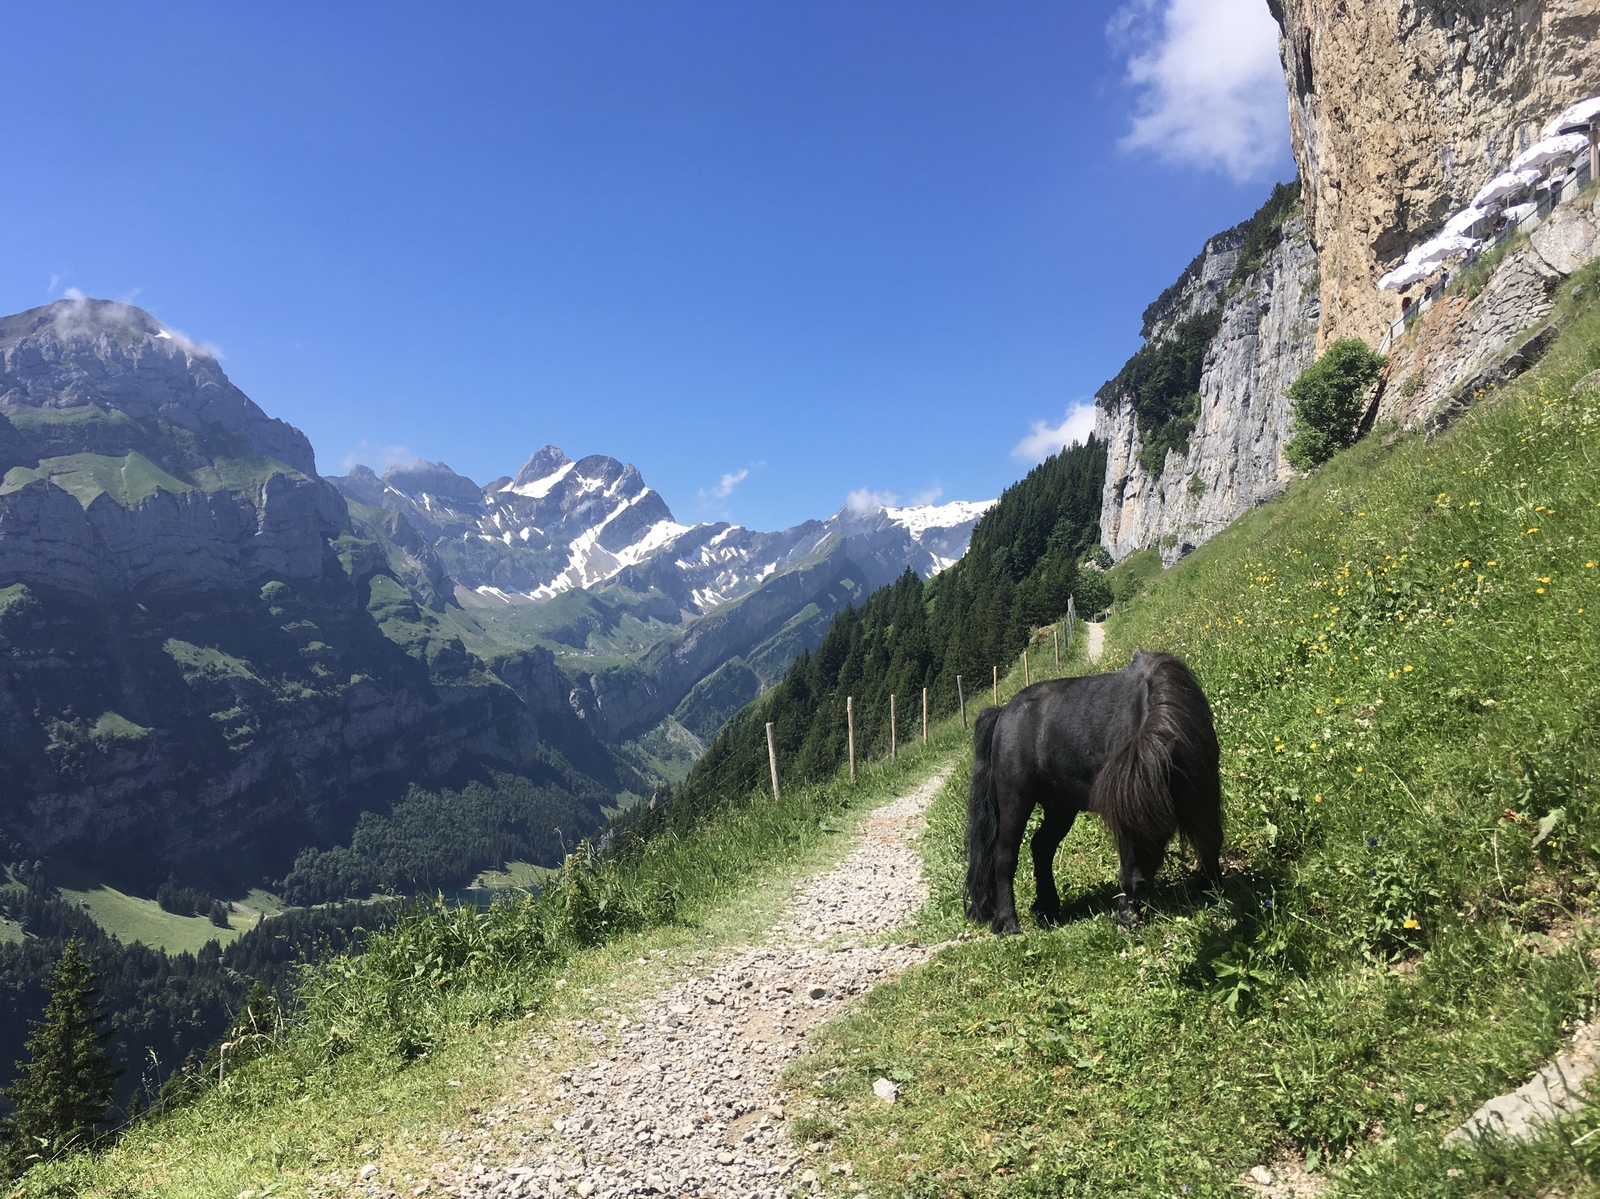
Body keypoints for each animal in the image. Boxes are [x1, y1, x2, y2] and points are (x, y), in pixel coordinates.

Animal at [960, 646, 1222, 934]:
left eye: (1154, 820)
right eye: (1116, 827)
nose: (1133, 886)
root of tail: (1003, 713)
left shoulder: (1205, 791)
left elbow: (1211, 837)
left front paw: (1212, 886)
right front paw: (1128, 914)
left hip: (1060, 808)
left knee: (1041, 847)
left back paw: (1048, 908)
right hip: (1015, 801)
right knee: (1005, 856)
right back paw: (1007, 922)